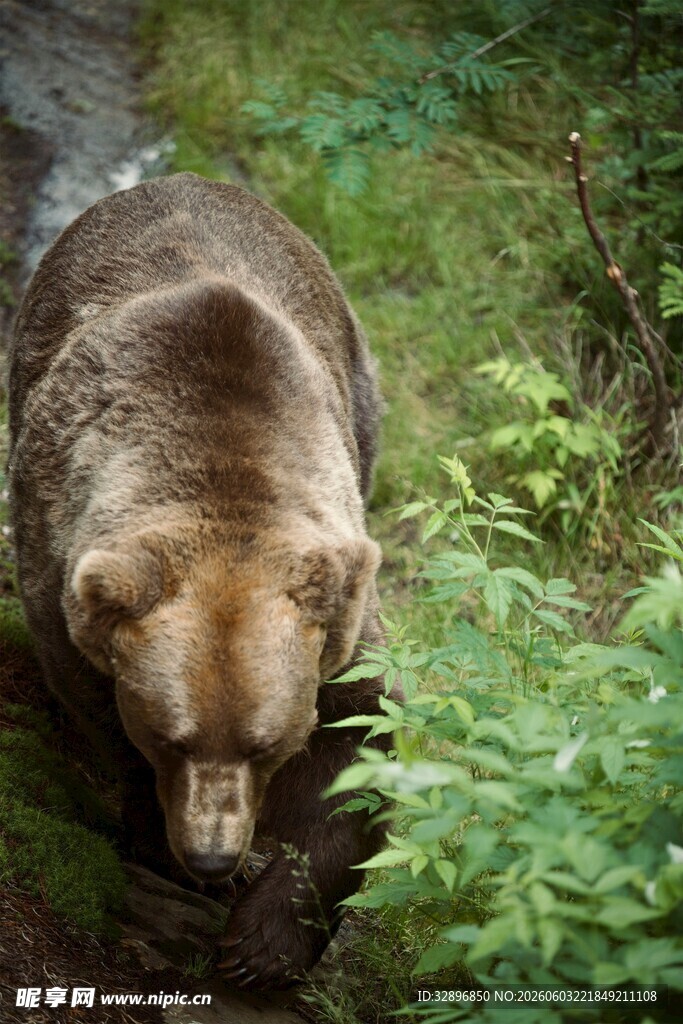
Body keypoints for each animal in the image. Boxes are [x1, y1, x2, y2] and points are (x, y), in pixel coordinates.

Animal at [8, 172, 393, 990]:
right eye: (171, 737)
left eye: (264, 742)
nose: (213, 854)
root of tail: (178, 179)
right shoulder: (60, 573)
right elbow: (101, 716)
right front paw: (168, 850)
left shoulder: (336, 616)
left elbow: (359, 743)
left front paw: (262, 946)